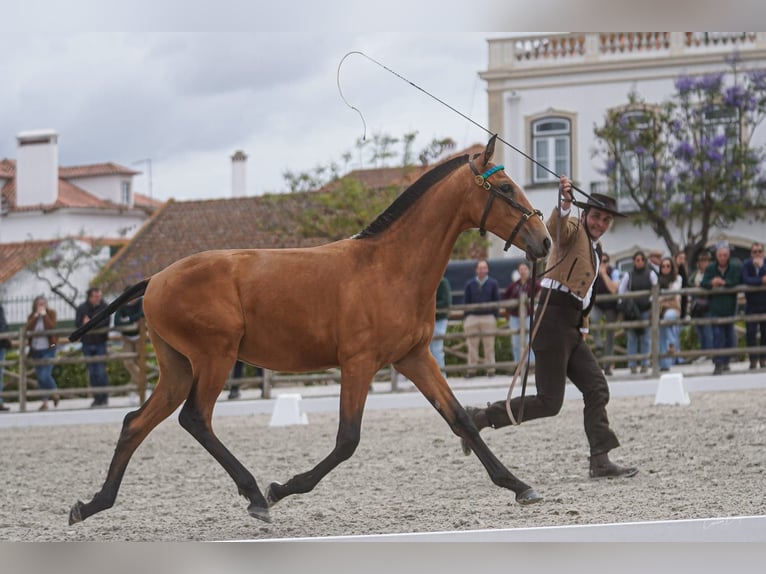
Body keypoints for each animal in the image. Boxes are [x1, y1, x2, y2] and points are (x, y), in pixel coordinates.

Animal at [67, 135, 552, 528]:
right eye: (504, 188)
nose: (544, 240)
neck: (389, 267)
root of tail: (155, 280)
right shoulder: (358, 363)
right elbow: (347, 440)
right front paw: (282, 489)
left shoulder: (414, 357)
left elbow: (460, 420)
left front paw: (519, 485)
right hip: (215, 358)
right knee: (194, 418)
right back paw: (255, 495)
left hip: (178, 367)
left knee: (136, 422)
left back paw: (90, 505)